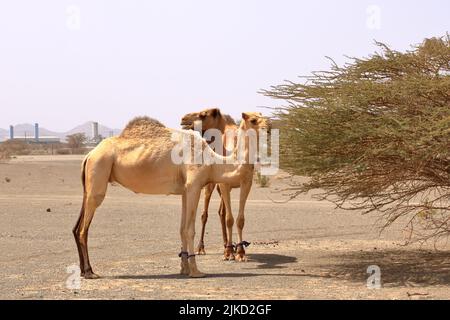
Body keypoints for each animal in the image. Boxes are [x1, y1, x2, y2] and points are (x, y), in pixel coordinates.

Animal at [71, 112, 268, 278]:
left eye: (262, 116)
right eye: (253, 120)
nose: (268, 125)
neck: (213, 162)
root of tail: (89, 154)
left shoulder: (185, 190)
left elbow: (181, 229)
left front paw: (184, 268)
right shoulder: (194, 185)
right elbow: (189, 229)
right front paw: (195, 271)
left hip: (89, 183)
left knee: (76, 226)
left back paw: (84, 270)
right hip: (99, 171)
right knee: (83, 228)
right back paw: (89, 272)